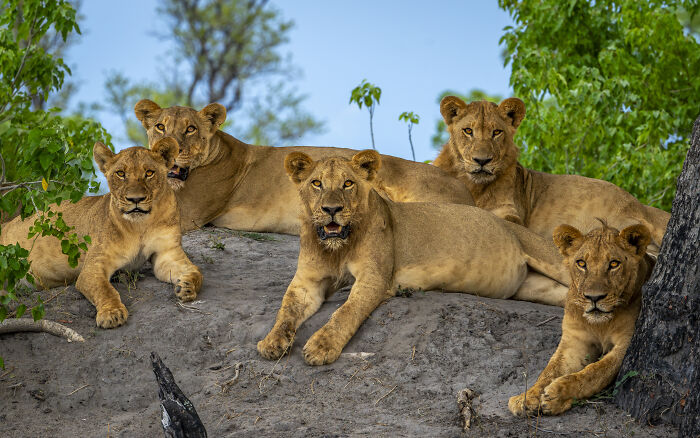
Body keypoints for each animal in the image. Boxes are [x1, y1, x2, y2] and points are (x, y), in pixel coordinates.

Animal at [0, 139, 202, 328]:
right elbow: (105, 290)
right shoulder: (94, 265)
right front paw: (112, 314)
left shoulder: (167, 253)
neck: (140, 225)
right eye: (120, 174)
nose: (135, 199)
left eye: (149, 173)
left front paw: (186, 286)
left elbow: (195, 271)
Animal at [257, 150, 572, 366]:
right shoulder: (306, 281)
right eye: (316, 183)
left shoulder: (375, 277)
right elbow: (286, 309)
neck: (336, 247)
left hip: (550, 258)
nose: (331, 209)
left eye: (347, 184)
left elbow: (346, 312)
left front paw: (322, 346)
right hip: (536, 288)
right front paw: (271, 341)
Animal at [433, 96, 670, 254]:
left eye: (496, 132)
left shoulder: (512, 213)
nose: (482, 161)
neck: (475, 186)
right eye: (468, 131)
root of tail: (640, 206)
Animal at [508, 221, 653, 416]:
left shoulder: (626, 343)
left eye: (614, 263)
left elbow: (595, 372)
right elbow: (549, 370)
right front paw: (526, 398)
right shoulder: (574, 342)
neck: (600, 325)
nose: (594, 297)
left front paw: (557, 395)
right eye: (581, 263)